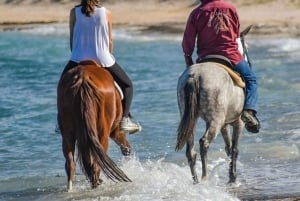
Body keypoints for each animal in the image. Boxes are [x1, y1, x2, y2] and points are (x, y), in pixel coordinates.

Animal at [57, 60, 131, 192]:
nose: (127, 151)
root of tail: (83, 79)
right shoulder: (115, 130)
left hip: (67, 132)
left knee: (71, 163)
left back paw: (70, 189)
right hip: (103, 132)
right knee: (96, 163)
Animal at [175, 25, 252, 183]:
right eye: (246, 47)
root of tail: (195, 76)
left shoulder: (224, 125)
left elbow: (228, 148)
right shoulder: (238, 122)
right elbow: (234, 149)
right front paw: (233, 177)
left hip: (192, 120)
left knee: (191, 151)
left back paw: (196, 181)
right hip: (215, 120)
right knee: (204, 143)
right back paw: (204, 177)